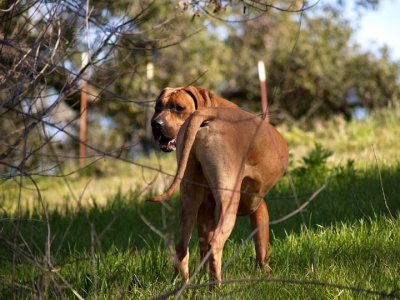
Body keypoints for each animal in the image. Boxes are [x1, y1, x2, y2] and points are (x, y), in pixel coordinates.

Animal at [148, 106, 290, 284]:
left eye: (178, 109)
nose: (156, 124)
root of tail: (209, 113)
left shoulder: (206, 211)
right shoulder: (258, 209)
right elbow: (262, 247)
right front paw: (266, 273)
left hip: (189, 198)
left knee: (182, 247)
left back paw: (185, 285)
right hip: (228, 203)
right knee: (214, 245)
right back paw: (216, 286)